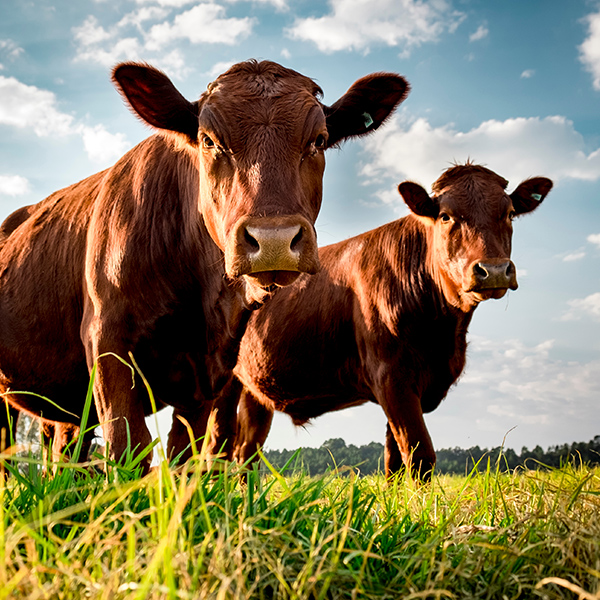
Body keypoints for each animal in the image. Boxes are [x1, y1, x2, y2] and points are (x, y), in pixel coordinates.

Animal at [0, 61, 408, 474]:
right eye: (209, 140)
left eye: (319, 140)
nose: (274, 240)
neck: (198, 296)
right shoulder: (106, 339)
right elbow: (128, 445)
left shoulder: (209, 371)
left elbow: (184, 455)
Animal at [221, 163, 552, 478]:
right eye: (446, 216)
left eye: (509, 213)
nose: (493, 270)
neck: (444, 333)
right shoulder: (391, 376)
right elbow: (420, 455)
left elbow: (394, 460)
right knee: (220, 445)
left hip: (255, 390)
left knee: (247, 451)